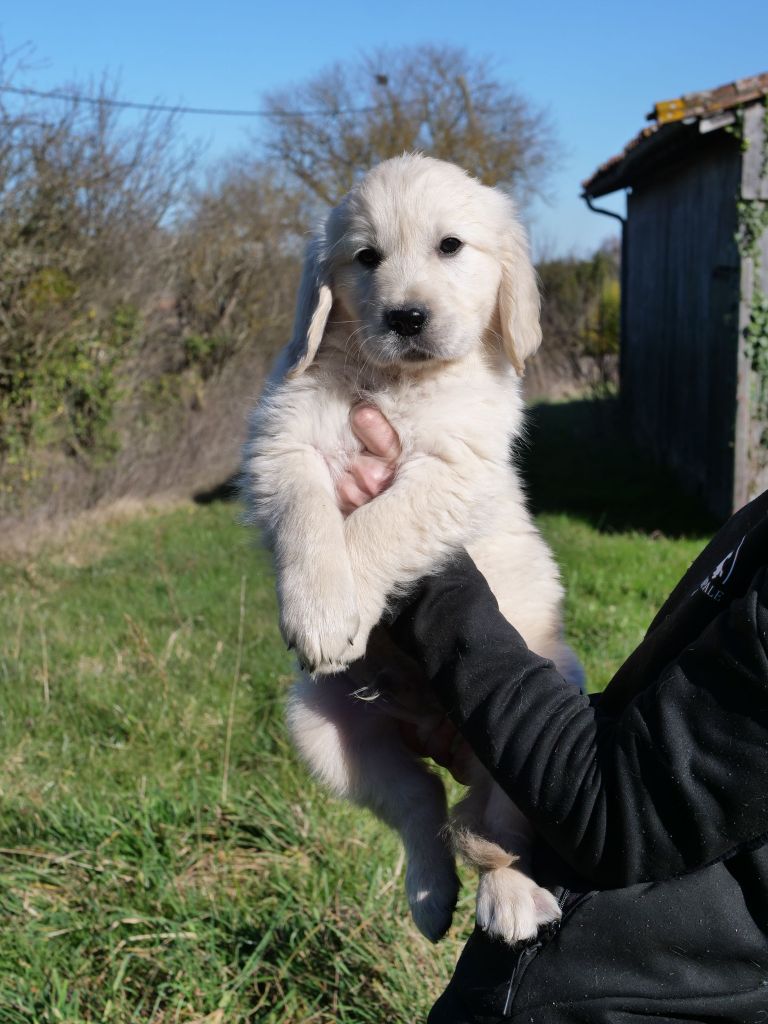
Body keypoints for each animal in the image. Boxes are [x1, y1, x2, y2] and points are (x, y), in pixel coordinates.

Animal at [244, 151, 581, 942]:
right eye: (366, 258)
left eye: (450, 246)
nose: (406, 317)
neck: (399, 381)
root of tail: (442, 737)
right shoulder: (284, 445)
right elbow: (309, 512)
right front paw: (318, 609)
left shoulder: (454, 468)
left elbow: (376, 525)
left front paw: (336, 610)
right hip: (321, 725)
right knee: (421, 804)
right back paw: (430, 897)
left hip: (541, 715)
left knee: (499, 835)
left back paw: (510, 901)